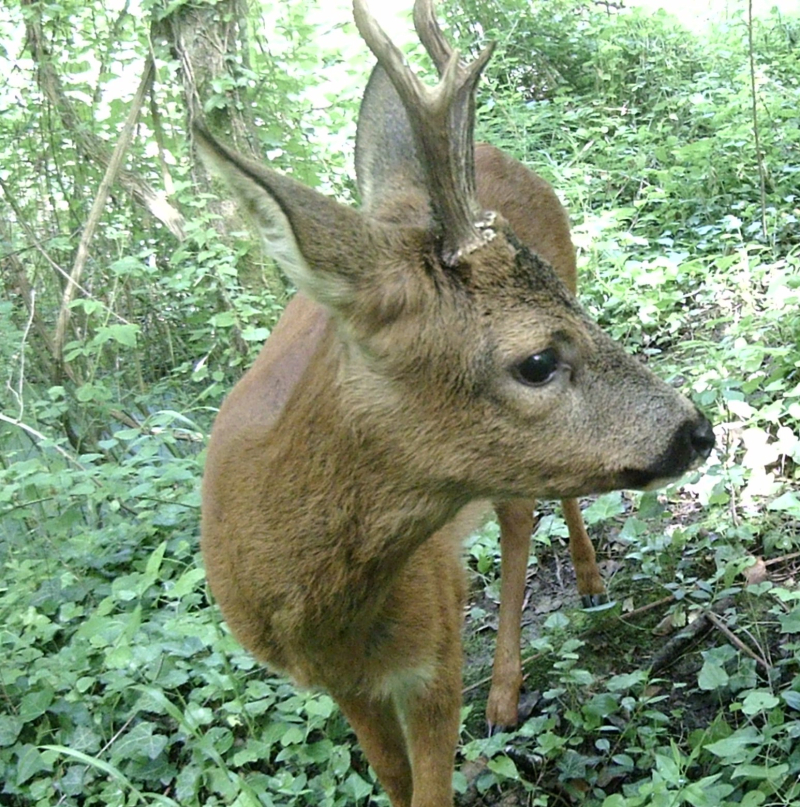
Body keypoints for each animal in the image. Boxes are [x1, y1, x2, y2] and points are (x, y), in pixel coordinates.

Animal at [197, 1, 716, 800]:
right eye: (536, 361)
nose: (697, 429)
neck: (325, 616)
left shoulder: (436, 646)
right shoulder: (344, 686)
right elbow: (391, 779)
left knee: (522, 518)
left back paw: (538, 650)